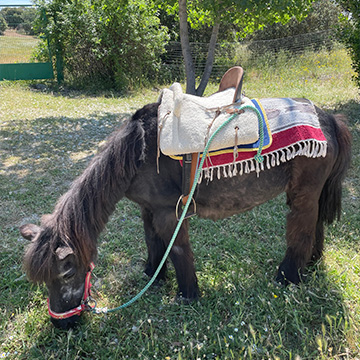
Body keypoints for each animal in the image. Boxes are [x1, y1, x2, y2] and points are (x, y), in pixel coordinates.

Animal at [19, 95, 352, 330]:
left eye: (67, 273)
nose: (61, 324)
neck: (140, 150)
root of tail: (328, 118)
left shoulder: (170, 213)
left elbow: (178, 251)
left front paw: (187, 294)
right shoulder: (148, 210)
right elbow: (153, 244)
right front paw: (153, 277)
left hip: (303, 194)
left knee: (302, 231)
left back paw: (287, 277)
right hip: (311, 194)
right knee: (315, 226)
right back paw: (311, 263)